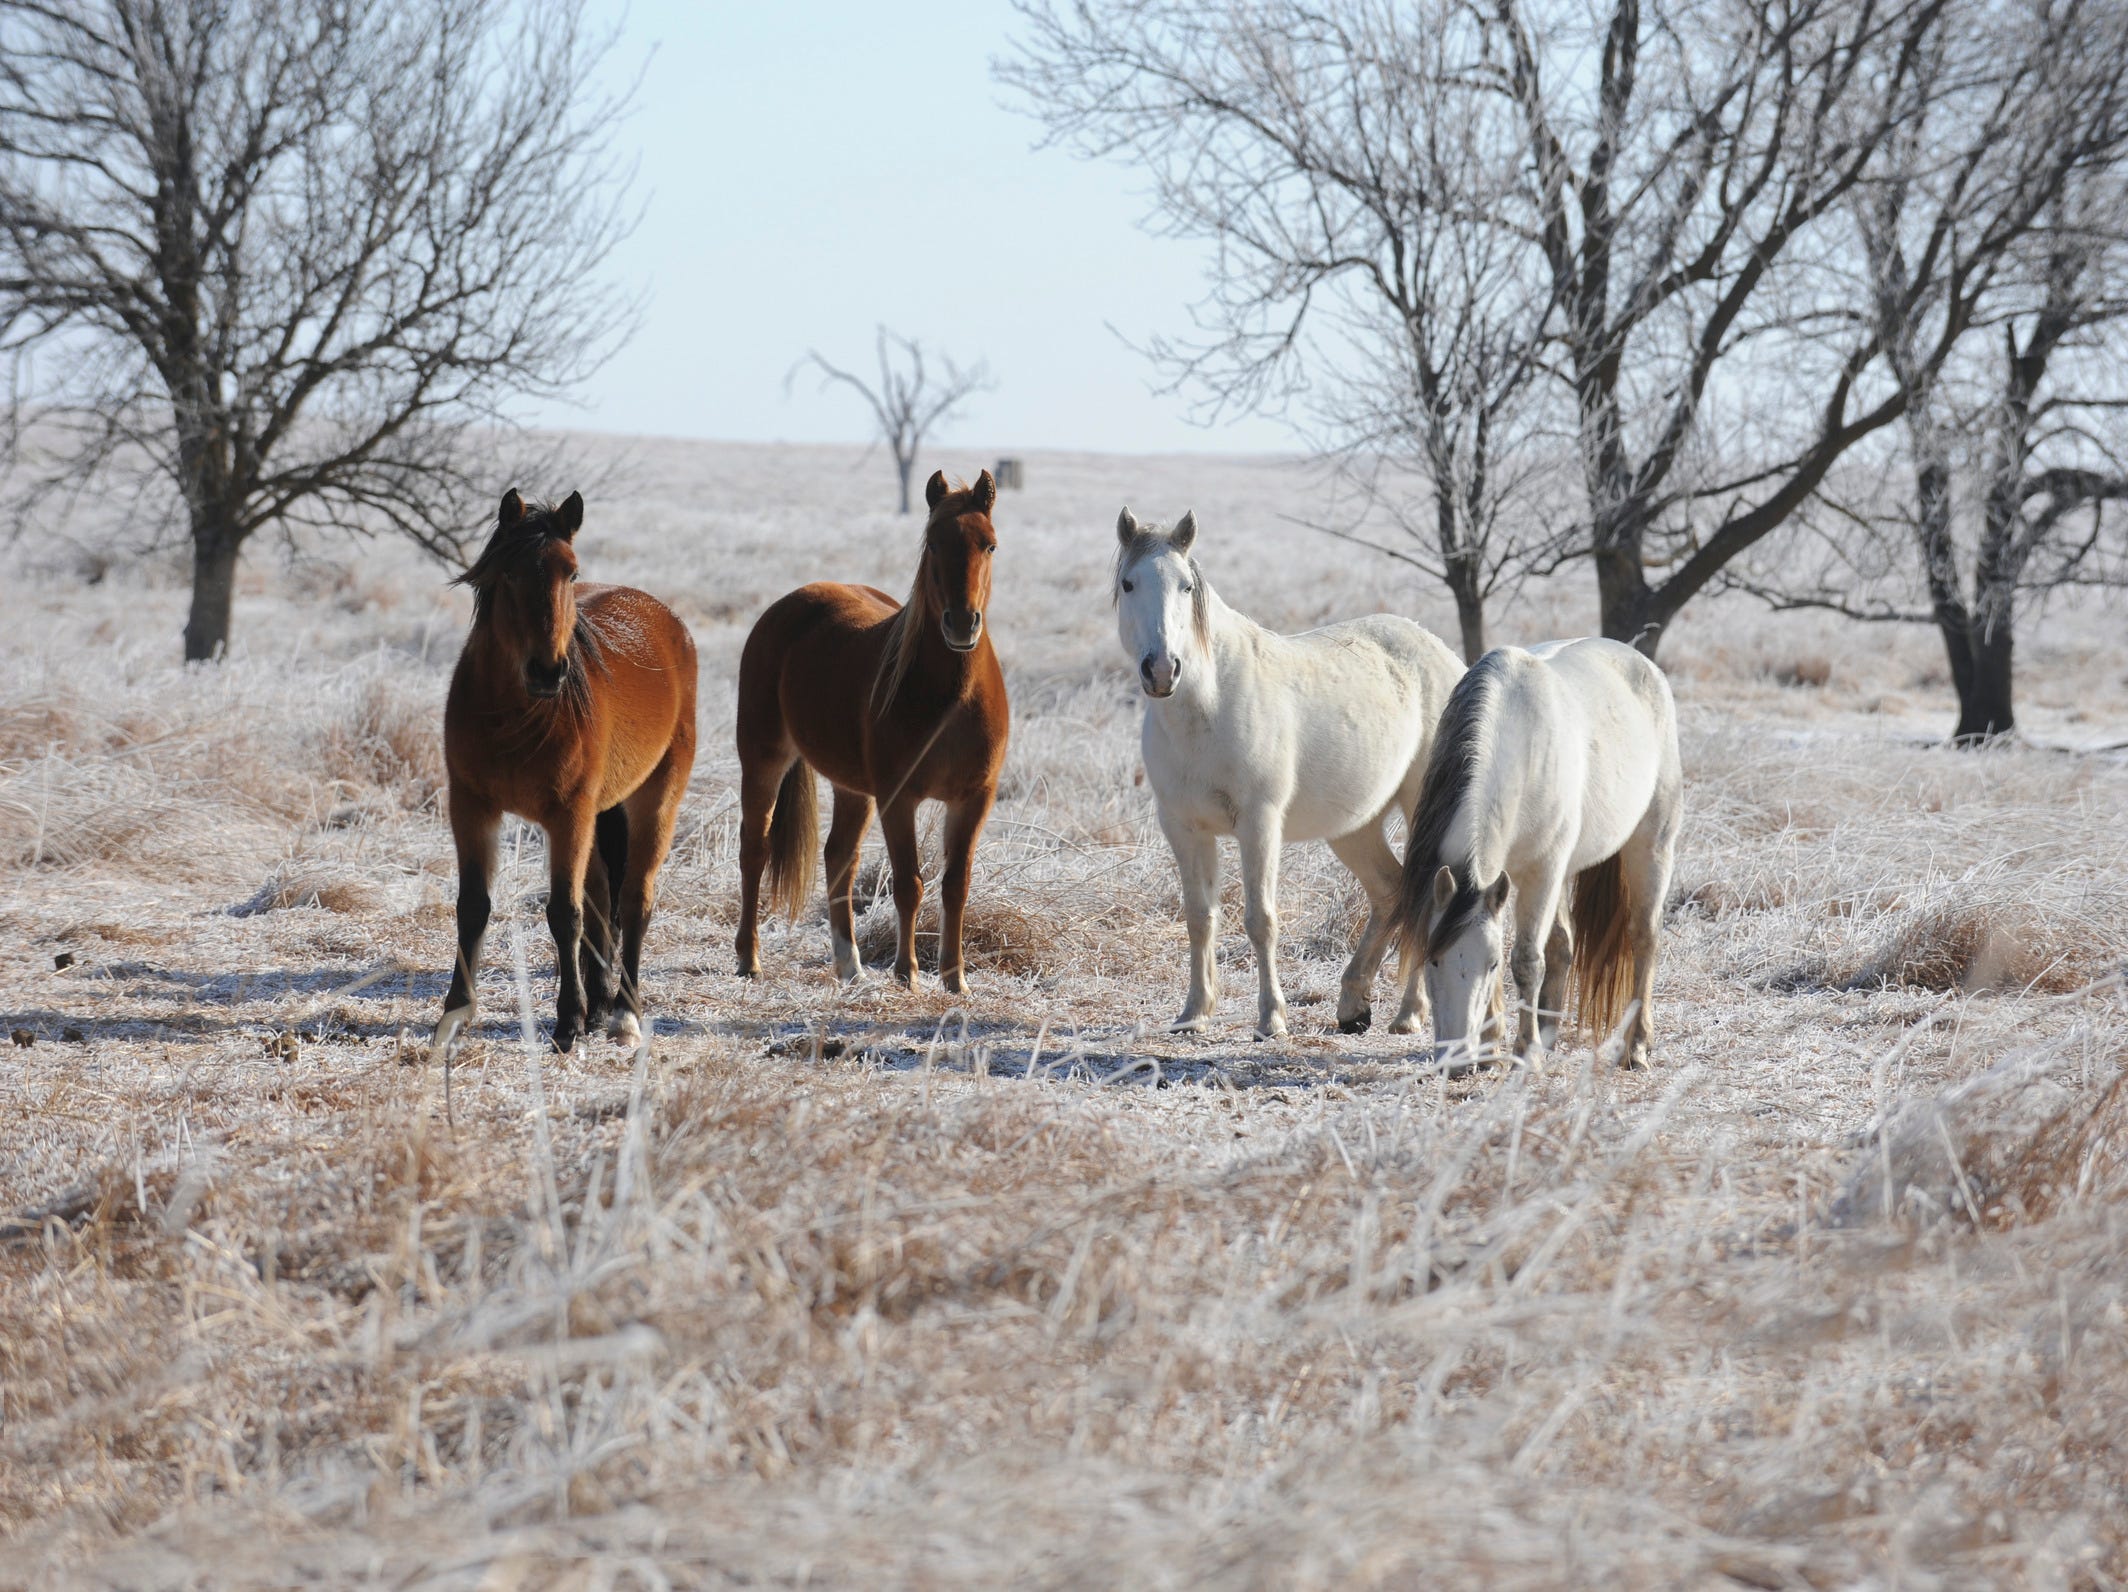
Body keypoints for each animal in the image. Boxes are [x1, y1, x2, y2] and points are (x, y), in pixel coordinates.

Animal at [431, 485, 697, 1055]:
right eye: (509, 573)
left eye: (570, 573)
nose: (547, 670)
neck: (513, 715)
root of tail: (670, 623)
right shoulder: (471, 806)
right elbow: (473, 905)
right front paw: (454, 1015)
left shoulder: (567, 815)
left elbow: (563, 914)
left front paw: (567, 1024)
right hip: (598, 815)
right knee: (601, 899)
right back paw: (600, 1006)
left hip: (654, 799)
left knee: (633, 899)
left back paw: (622, 1014)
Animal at [736, 466, 1008, 987]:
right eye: (933, 544)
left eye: (989, 545)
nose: (962, 623)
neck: (952, 698)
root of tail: (789, 605)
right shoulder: (898, 798)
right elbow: (909, 883)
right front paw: (907, 973)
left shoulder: (973, 798)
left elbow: (955, 884)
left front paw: (955, 978)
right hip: (763, 759)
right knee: (754, 850)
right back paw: (749, 959)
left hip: (852, 789)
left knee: (839, 857)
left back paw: (850, 965)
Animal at [1115, 504, 1464, 1038]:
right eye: (1129, 583)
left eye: (1185, 586)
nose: (1161, 670)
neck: (1205, 707)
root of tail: (1445, 654)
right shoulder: (1183, 828)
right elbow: (1199, 917)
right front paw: (1194, 1013)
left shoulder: (1259, 824)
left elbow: (1260, 920)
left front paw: (1270, 1019)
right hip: (1354, 827)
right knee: (1391, 890)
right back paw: (1354, 1004)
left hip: (1421, 806)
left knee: (1425, 893)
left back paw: (1408, 1014)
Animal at [1387, 638, 1685, 1076]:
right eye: (1433, 962)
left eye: (1491, 964)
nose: (1456, 1063)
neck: (1515, 739)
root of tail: (1644, 664)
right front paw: (1492, 1048)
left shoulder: (1540, 871)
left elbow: (1527, 960)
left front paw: (1525, 1052)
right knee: (1563, 944)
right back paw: (1549, 1034)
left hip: (1651, 845)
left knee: (1644, 936)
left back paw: (1636, 1048)